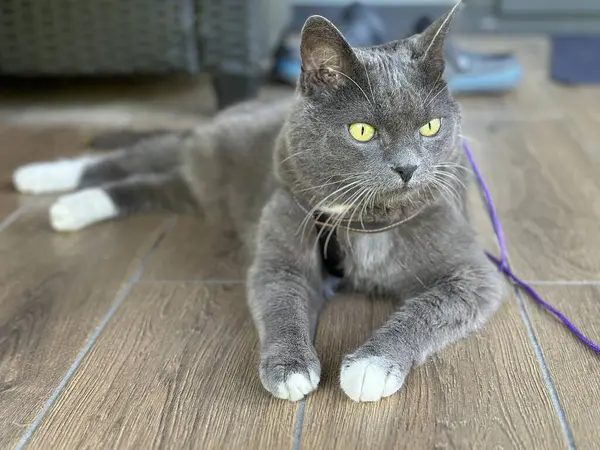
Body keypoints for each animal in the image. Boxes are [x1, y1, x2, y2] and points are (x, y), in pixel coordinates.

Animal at [11, 3, 504, 402]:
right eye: (362, 131)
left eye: (430, 127)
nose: (408, 169)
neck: (366, 222)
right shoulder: (283, 238)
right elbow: (279, 301)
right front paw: (290, 370)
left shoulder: (471, 274)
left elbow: (427, 310)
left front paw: (370, 366)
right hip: (215, 154)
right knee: (152, 152)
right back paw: (41, 178)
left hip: (205, 191)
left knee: (158, 180)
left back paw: (70, 202)